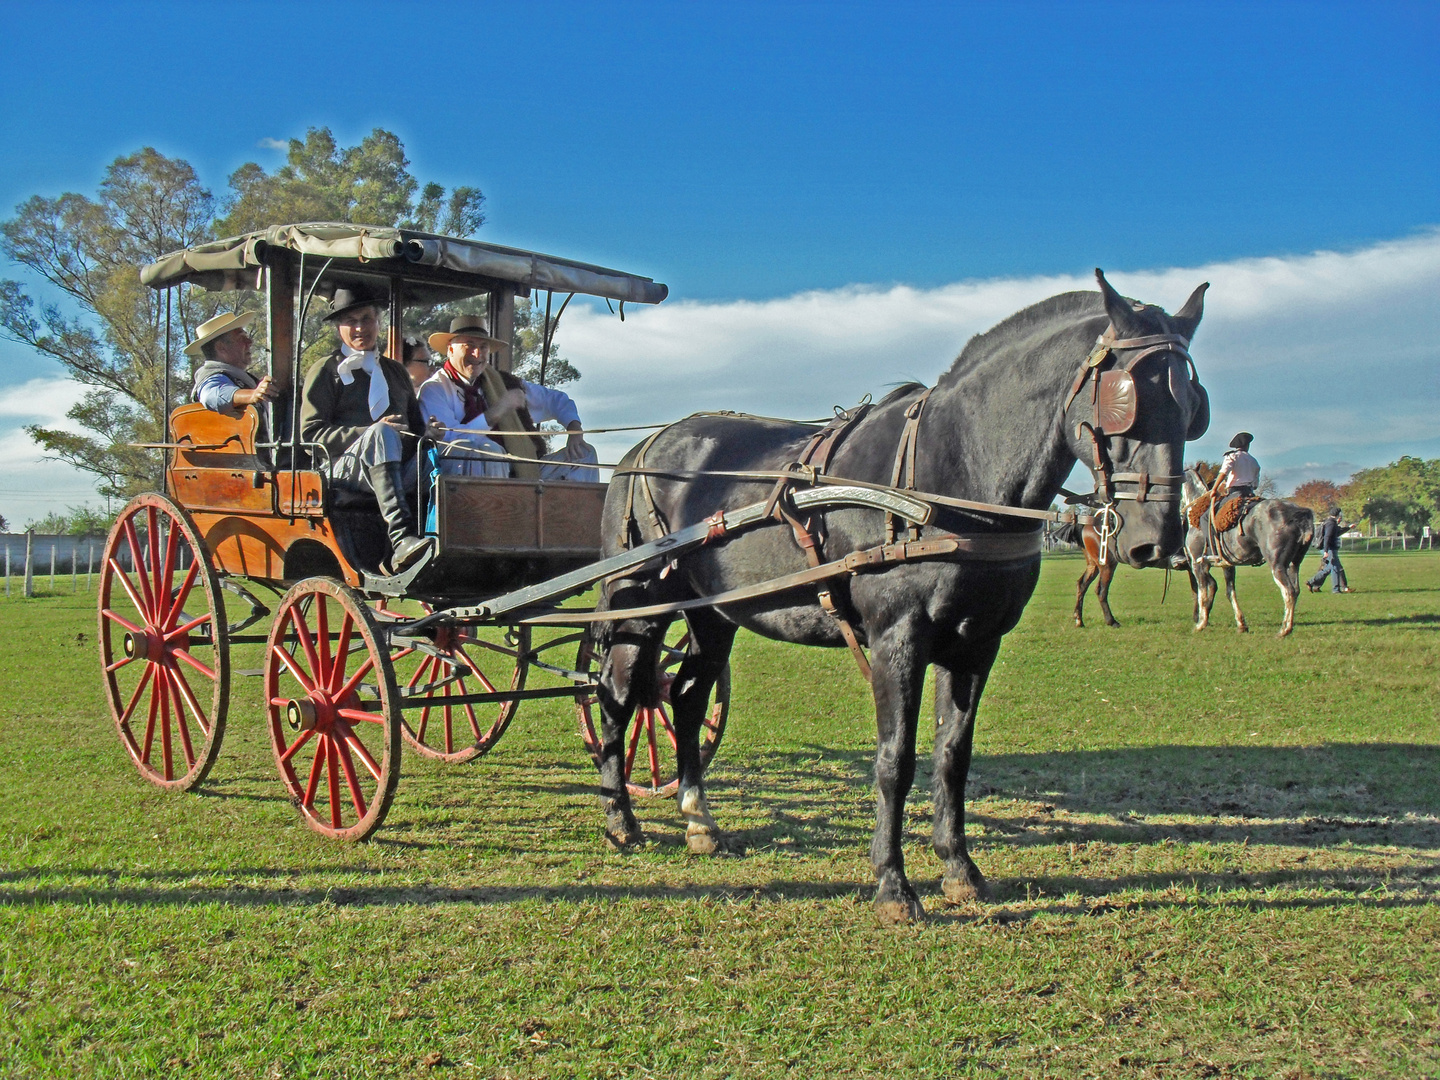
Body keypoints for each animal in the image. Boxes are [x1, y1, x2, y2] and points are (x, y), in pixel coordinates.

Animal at [590, 269, 1209, 921]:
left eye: (1193, 408)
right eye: (1125, 401)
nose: (1157, 539)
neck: (954, 469)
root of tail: (645, 448)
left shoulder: (976, 644)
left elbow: (952, 756)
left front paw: (960, 868)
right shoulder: (898, 637)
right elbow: (896, 759)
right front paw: (892, 883)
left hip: (715, 615)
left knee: (684, 699)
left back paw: (698, 820)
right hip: (640, 603)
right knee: (618, 693)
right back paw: (620, 818)